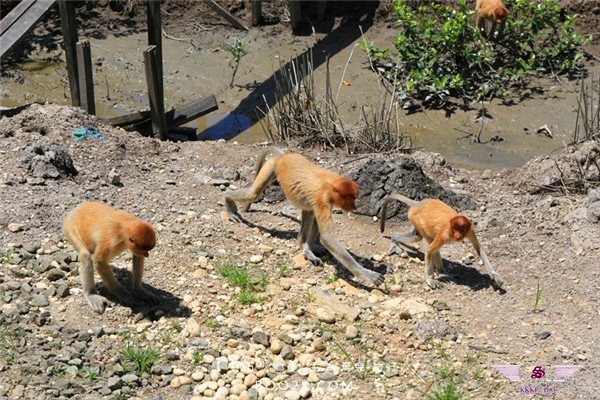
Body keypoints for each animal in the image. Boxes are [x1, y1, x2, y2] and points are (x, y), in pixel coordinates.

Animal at [225, 147, 384, 288]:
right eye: (350, 198)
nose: (354, 207)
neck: (330, 184)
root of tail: (283, 157)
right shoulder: (322, 200)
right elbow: (327, 238)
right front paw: (367, 274)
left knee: (309, 211)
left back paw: (307, 245)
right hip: (270, 167)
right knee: (253, 194)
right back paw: (228, 199)